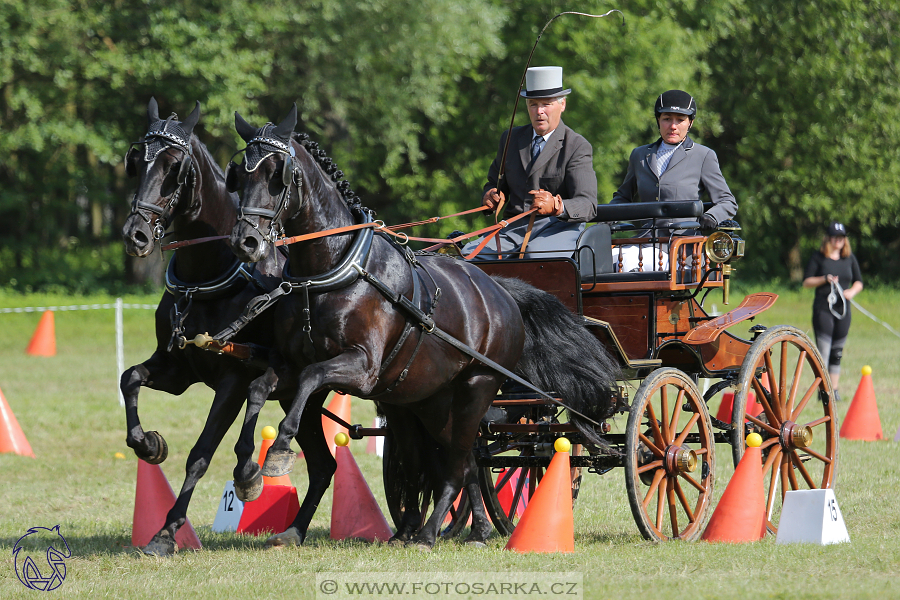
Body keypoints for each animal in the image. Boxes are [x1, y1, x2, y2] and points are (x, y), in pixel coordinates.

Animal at [121, 97, 314, 552]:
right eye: (137, 162)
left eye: (174, 167)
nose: (136, 236)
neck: (207, 277)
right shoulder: (176, 368)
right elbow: (130, 377)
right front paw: (148, 444)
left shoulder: (233, 379)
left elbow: (201, 454)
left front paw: (167, 532)